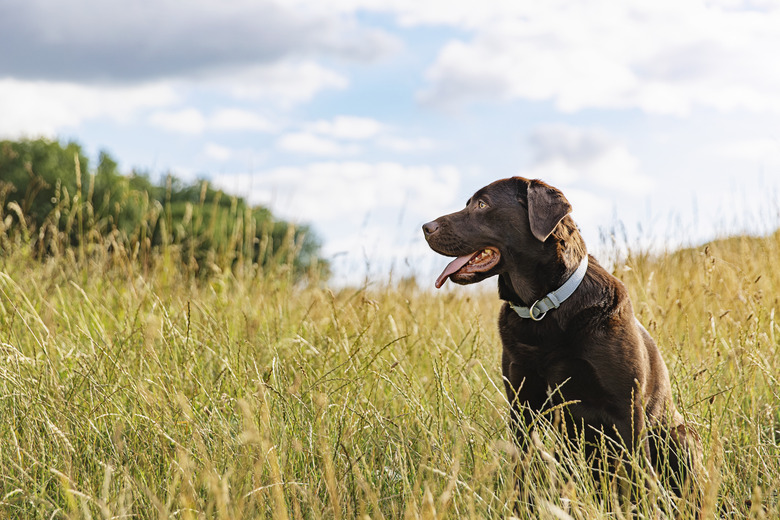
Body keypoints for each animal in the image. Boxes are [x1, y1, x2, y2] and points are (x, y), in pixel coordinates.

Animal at [424, 178, 704, 504]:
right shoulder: (522, 408)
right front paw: (521, 507)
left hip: (680, 435)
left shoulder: (628, 410)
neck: (542, 308)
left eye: (482, 204)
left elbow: (638, 479)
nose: (425, 227)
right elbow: (523, 471)